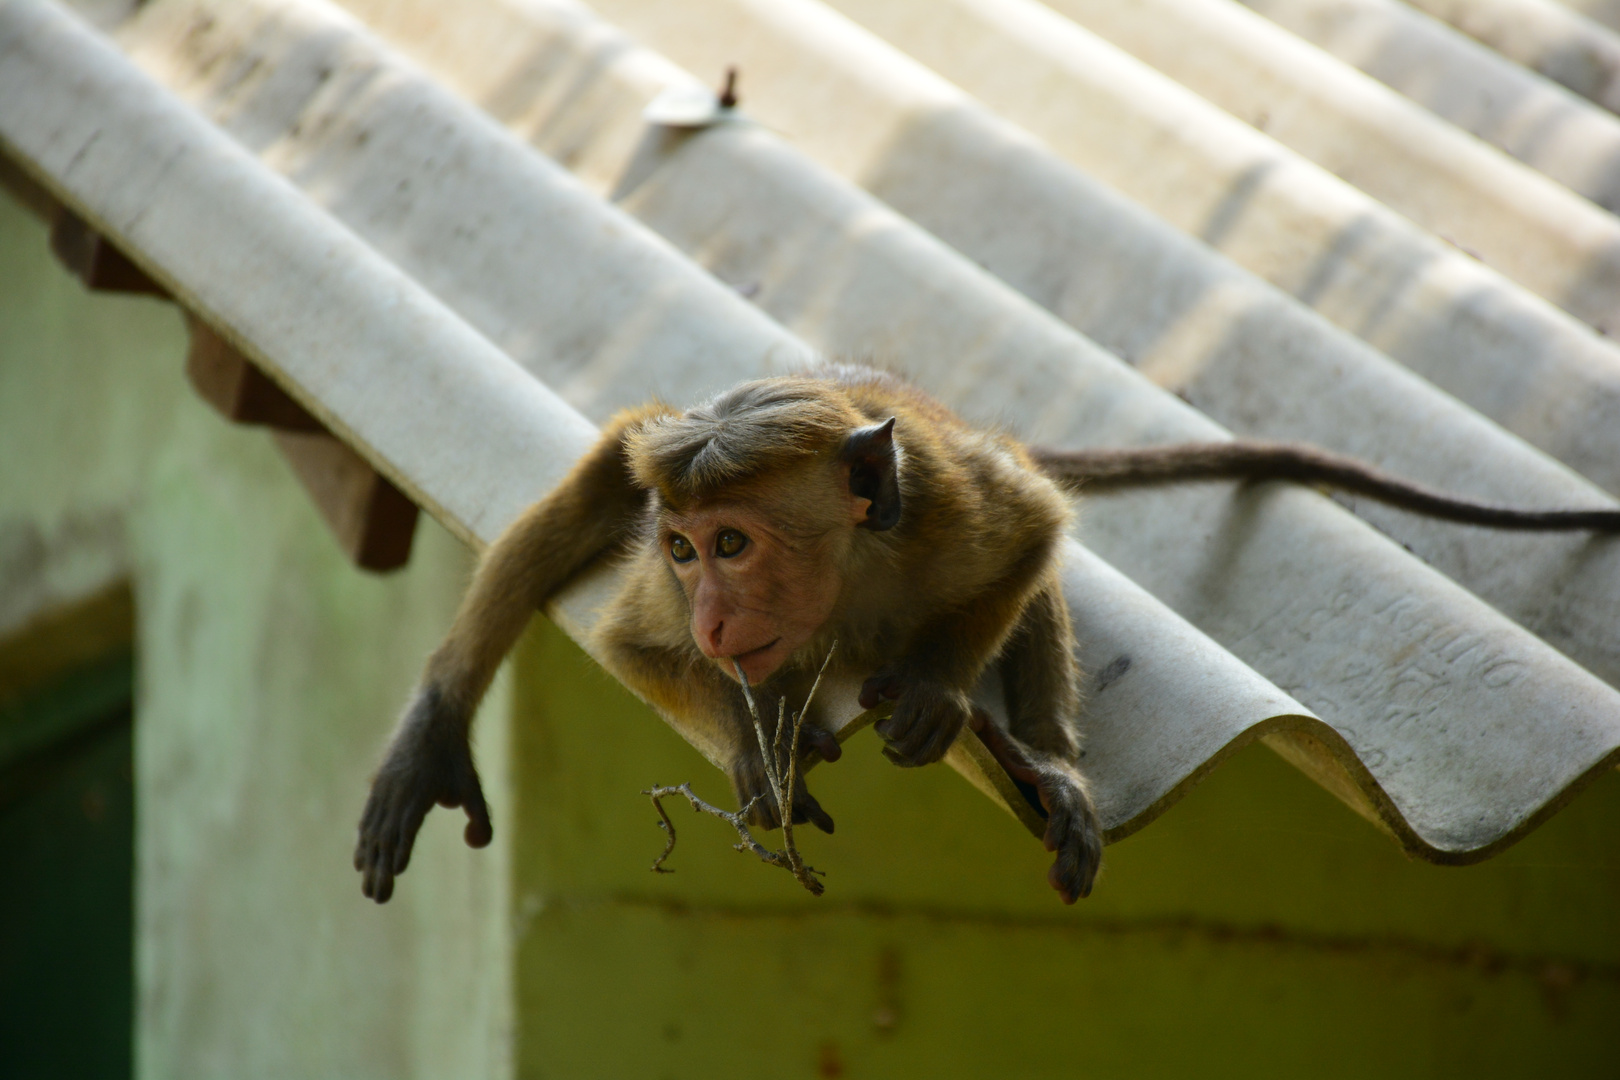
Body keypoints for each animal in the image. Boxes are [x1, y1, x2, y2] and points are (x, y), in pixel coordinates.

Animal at [351, 362, 1620, 906]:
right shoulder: (665, 586)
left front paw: (938, 698)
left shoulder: (949, 508)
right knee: (603, 472)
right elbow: (638, 649)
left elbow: (1032, 530)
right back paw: (440, 715)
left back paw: (1041, 755)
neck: (849, 572)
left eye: (734, 545)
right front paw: (759, 760)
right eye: (683, 550)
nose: (710, 607)